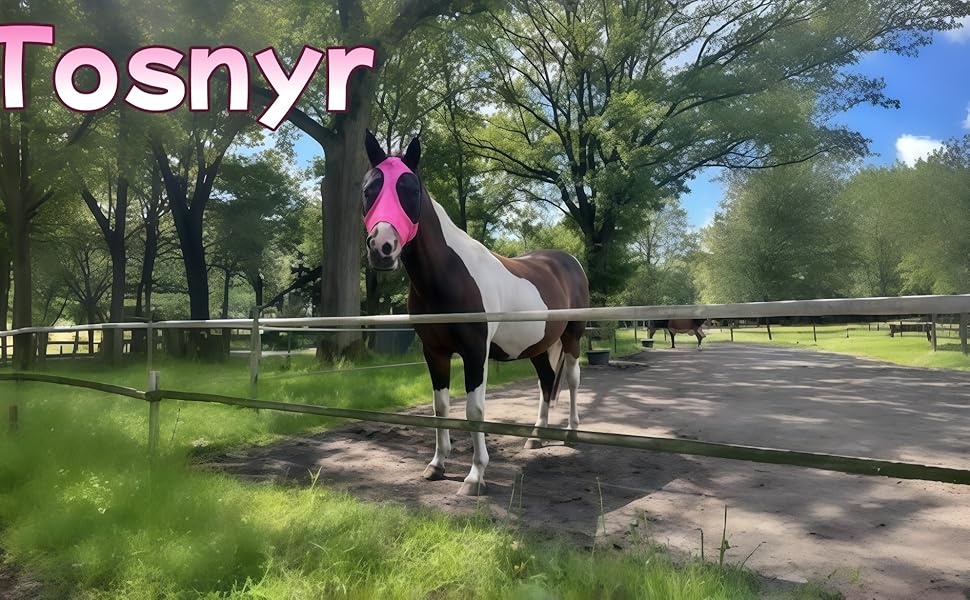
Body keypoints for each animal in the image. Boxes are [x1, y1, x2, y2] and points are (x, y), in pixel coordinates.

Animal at [360, 130, 590, 496]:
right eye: (369, 189)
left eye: (411, 189)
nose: (383, 247)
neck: (449, 275)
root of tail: (567, 261)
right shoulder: (434, 352)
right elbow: (441, 407)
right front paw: (437, 465)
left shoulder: (474, 352)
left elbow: (475, 409)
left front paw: (475, 475)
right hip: (538, 346)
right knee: (545, 381)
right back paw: (536, 437)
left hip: (572, 336)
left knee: (570, 379)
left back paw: (571, 432)